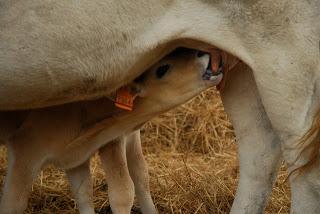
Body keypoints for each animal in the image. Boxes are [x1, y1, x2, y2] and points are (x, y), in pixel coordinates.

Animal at [0, 49, 222, 213]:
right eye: (162, 69)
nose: (201, 53)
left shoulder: (81, 154)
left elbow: (127, 180)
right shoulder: (26, 149)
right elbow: (12, 204)